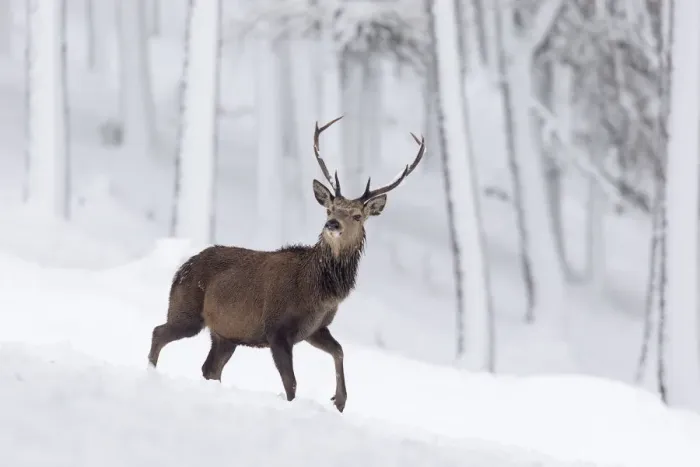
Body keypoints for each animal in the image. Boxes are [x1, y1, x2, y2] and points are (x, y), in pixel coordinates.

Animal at [147, 116, 425, 413]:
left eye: (357, 215)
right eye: (329, 209)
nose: (332, 224)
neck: (318, 291)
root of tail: (180, 271)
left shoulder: (315, 328)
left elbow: (339, 350)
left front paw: (339, 400)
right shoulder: (276, 329)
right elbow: (291, 384)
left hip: (225, 334)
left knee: (210, 367)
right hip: (186, 312)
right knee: (159, 332)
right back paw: (150, 372)